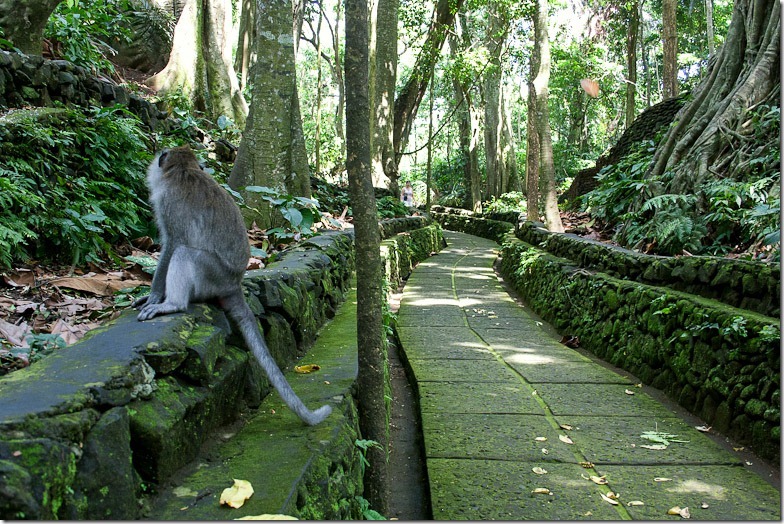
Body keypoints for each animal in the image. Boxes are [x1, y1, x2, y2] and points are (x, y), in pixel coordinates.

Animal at [135, 146, 330, 426]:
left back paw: (173, 304)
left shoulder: (168, 202)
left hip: (212, 276)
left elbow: (173, 243)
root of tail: (234, 283)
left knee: (185, 253)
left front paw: (154, 296)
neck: (183, 170)